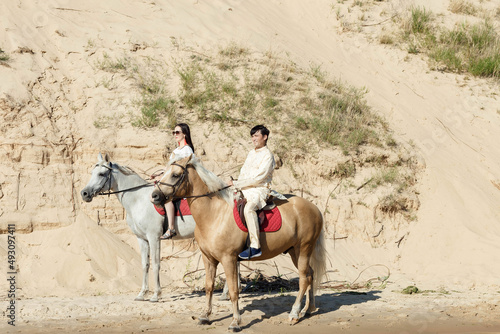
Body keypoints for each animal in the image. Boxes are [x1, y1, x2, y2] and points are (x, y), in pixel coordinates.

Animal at [81, 154, 237, 302]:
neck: (138, 200)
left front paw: (156, 294)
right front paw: (142, 294)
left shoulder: (154, 237)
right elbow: (145, 264)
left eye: (101, 174)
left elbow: (156, 264)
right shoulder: (142, 239)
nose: (84, 193)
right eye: (92, 172)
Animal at [150, 157, 326, 332]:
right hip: (294, 252)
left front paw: (235, 322)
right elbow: (209, 286)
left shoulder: (228, 259)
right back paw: (308, 309)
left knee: (304, 279)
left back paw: (294, 313)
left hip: (303, 249)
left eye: (175, 175)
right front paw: (205, 316)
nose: (154, 196)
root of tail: (314, 208)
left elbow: (234, 290)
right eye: (164, 172)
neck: (214, 214)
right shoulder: (208, 259)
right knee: (310, 274)